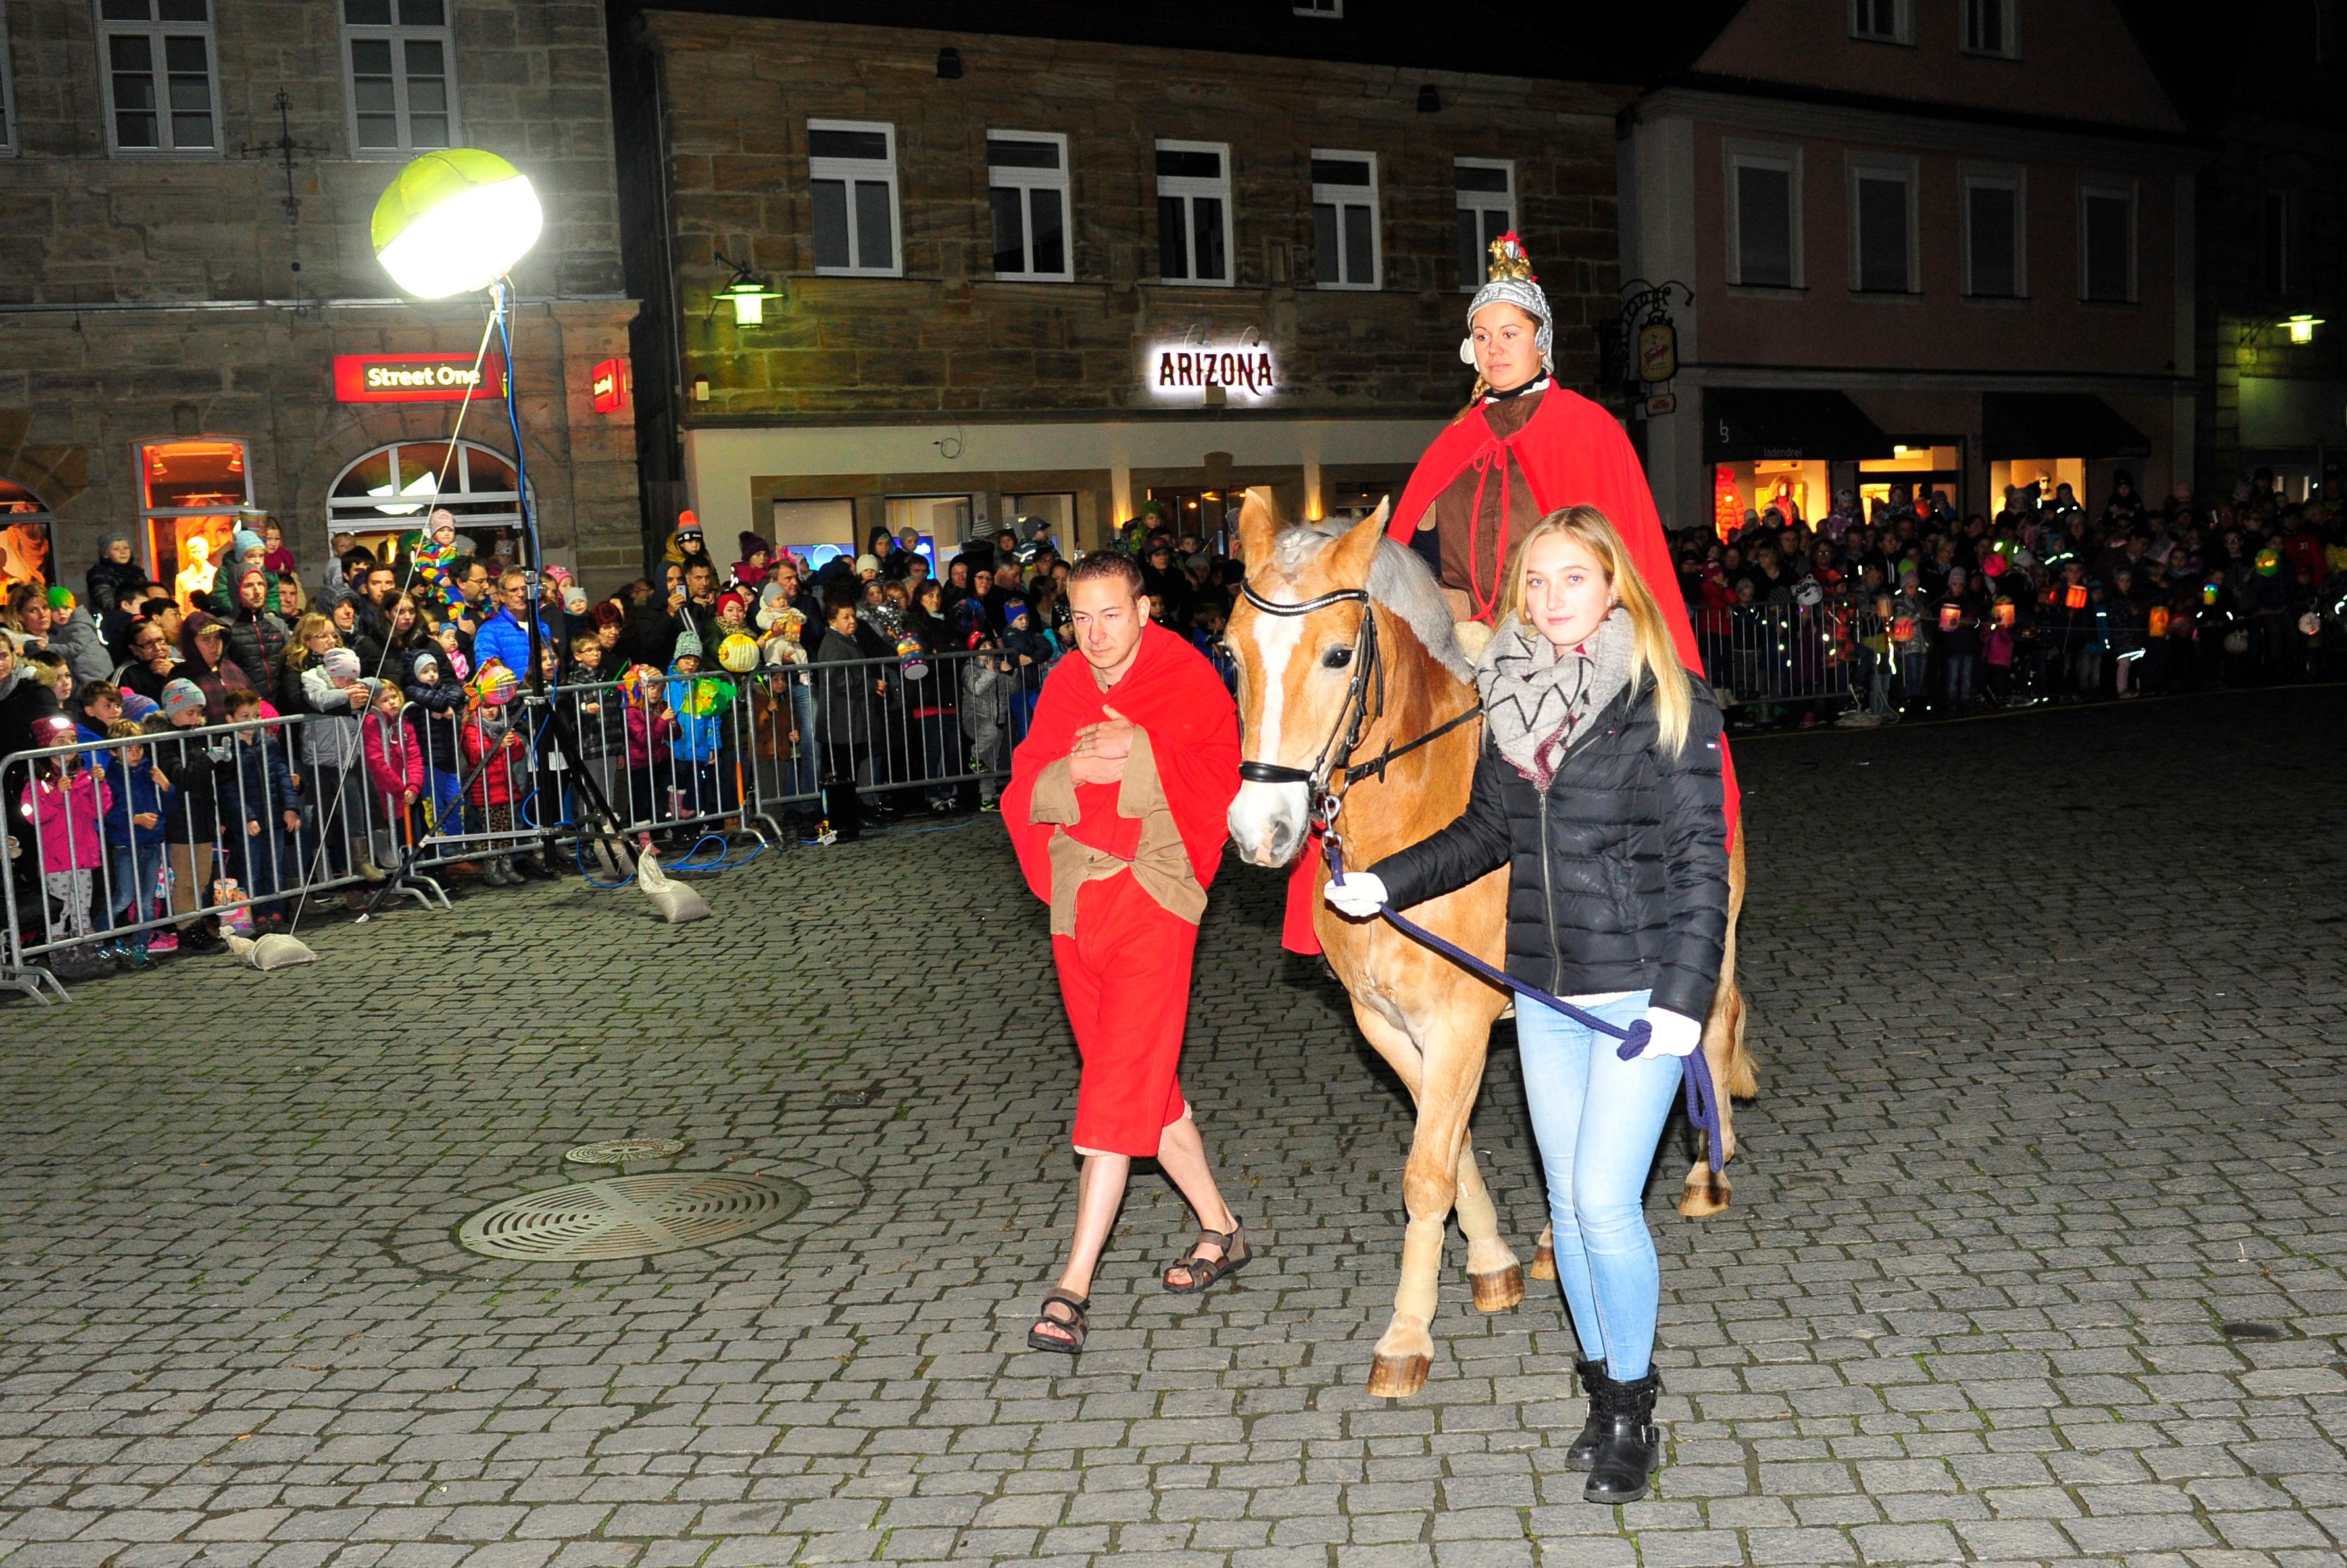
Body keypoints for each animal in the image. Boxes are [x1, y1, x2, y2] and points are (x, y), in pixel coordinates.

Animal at [1224, 492, 1757, 1399]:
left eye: (1337, 654)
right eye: (1229, 652)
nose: (1260, 830)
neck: (1413, 812)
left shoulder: (1460, 1021)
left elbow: (1425, 1169)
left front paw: (1406, 1334)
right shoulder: (1385, 1022)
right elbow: (1451, 1144)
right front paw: (1491, 1260)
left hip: (1708, 942)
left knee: (1712, 1028)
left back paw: (1702, 1172)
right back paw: (1548, 1240)